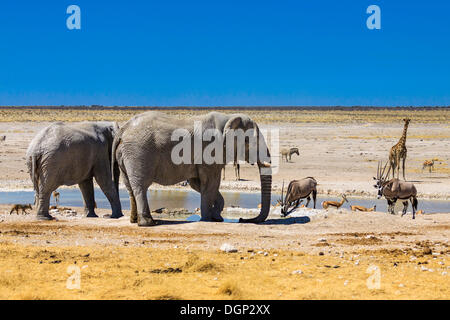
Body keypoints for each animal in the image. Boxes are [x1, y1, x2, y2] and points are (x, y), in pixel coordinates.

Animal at [113, 111, 274, 226]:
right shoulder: (210, 150)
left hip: (126, 154)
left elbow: (198, 184)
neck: (228, 118)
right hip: (138, 153)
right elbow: (210, 184)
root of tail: (123, 130)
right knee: (141, 186)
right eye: (248, 140)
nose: (242, 219)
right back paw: (148, 223)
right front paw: (208, 219)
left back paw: (134, 221)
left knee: (129, 186)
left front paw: (217, 217)